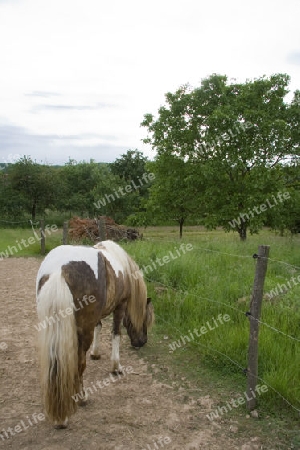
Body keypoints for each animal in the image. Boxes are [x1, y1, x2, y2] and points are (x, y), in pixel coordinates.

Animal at [35, 239, 155, 428]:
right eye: (145, 319)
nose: (142, 342)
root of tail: (60, 269)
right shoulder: (120, 306)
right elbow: (116, 333)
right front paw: (116, 367)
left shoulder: (97, 317)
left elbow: (99, 327)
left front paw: (96, 353)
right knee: (79, 364)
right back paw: (81, 398)